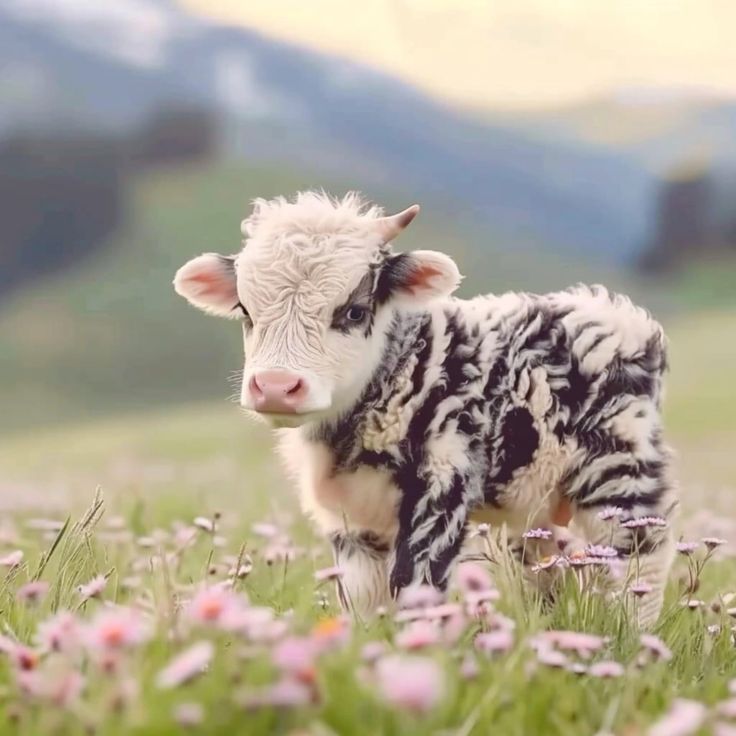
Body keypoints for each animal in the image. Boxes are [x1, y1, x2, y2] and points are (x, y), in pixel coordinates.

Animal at [173, 191, 677, 628]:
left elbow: (416, 585)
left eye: (354, 311)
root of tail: (615, 312)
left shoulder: (442, 483)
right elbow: (361, 598)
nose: (277, 387)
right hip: (538, 504)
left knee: (639, 559)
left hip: (620, 472)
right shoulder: (352, 521)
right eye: (245, 310)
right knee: (545, 567)